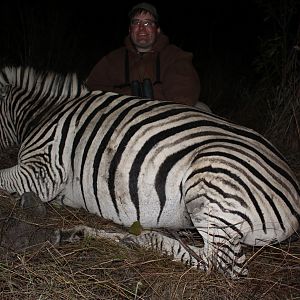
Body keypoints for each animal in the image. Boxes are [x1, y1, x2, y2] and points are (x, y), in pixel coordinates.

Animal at [0, 66, 298, 278]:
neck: (42, 115)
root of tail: (294, 196)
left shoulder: (41, 171)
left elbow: (4, 177)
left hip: (209, 185)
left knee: (220, 265)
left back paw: (129, 240)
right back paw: (87, 235)